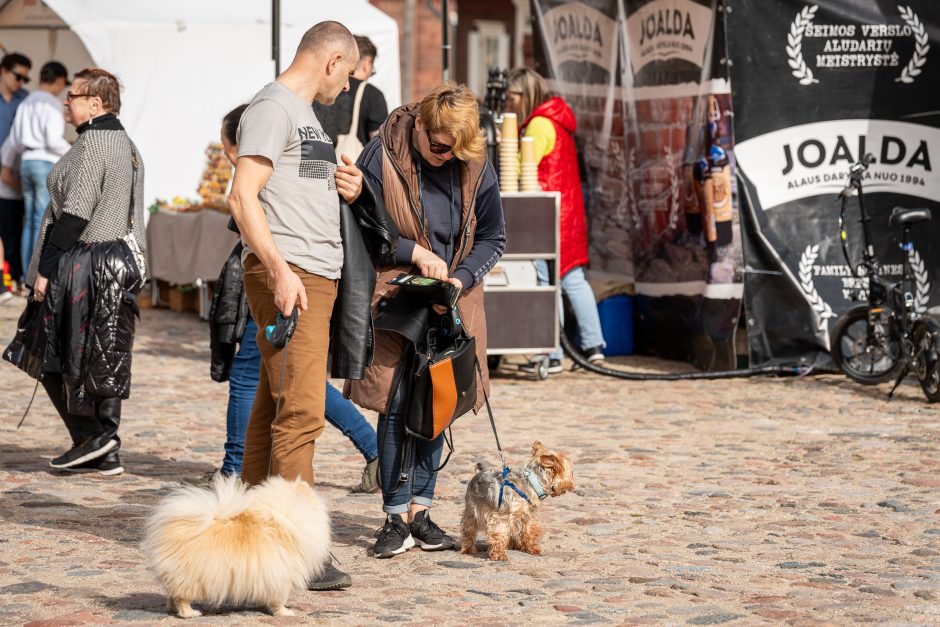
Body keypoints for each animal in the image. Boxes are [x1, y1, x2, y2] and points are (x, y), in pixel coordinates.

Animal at [140, 476, 330, 620]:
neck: (280, 517)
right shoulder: (281, 575)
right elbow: (279, 599)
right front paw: (284, 613)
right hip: (191, 576)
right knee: (181, 597)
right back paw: (190, 613)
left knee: (172, 594)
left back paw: (172, 609)